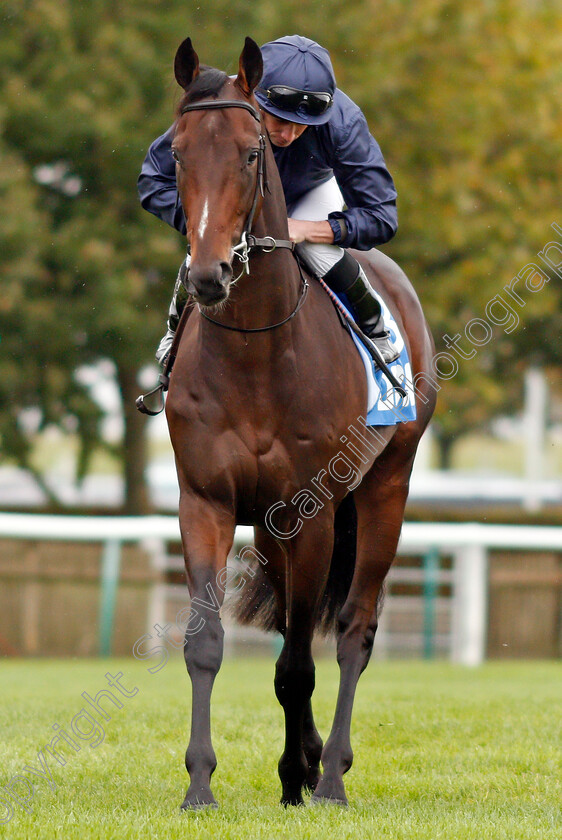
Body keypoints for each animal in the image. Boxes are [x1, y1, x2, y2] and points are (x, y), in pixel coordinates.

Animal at [164, 37, 436, 808]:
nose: (209, 274)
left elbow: (296, 662)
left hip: (384, 488)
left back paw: (332, 773)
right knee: (299, 622)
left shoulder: (310, 512)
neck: (257, 354)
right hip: (271, 527)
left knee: (351, 630)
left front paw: (299, 778)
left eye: (252, 150)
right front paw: (201, 786)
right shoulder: (207, 501)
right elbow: (206, 643)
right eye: (177, 153)